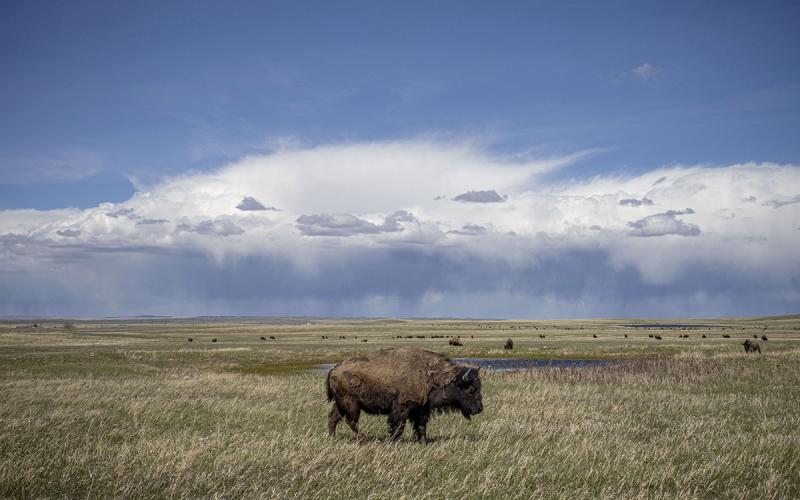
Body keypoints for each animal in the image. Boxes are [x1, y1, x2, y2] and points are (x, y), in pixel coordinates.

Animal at [326, 347, 483, 443]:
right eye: (471, 389)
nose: (480, 408)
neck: (432, 376)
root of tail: (335, 368)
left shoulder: (421, 409)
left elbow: (421, 427)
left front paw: (423, 443)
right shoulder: (402, 409)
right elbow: (398, 427)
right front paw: (391, 441)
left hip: (340, 404)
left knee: (334, 418)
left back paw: (332, 438)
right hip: (352, 404)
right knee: (351, 421)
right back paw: (364, 438)